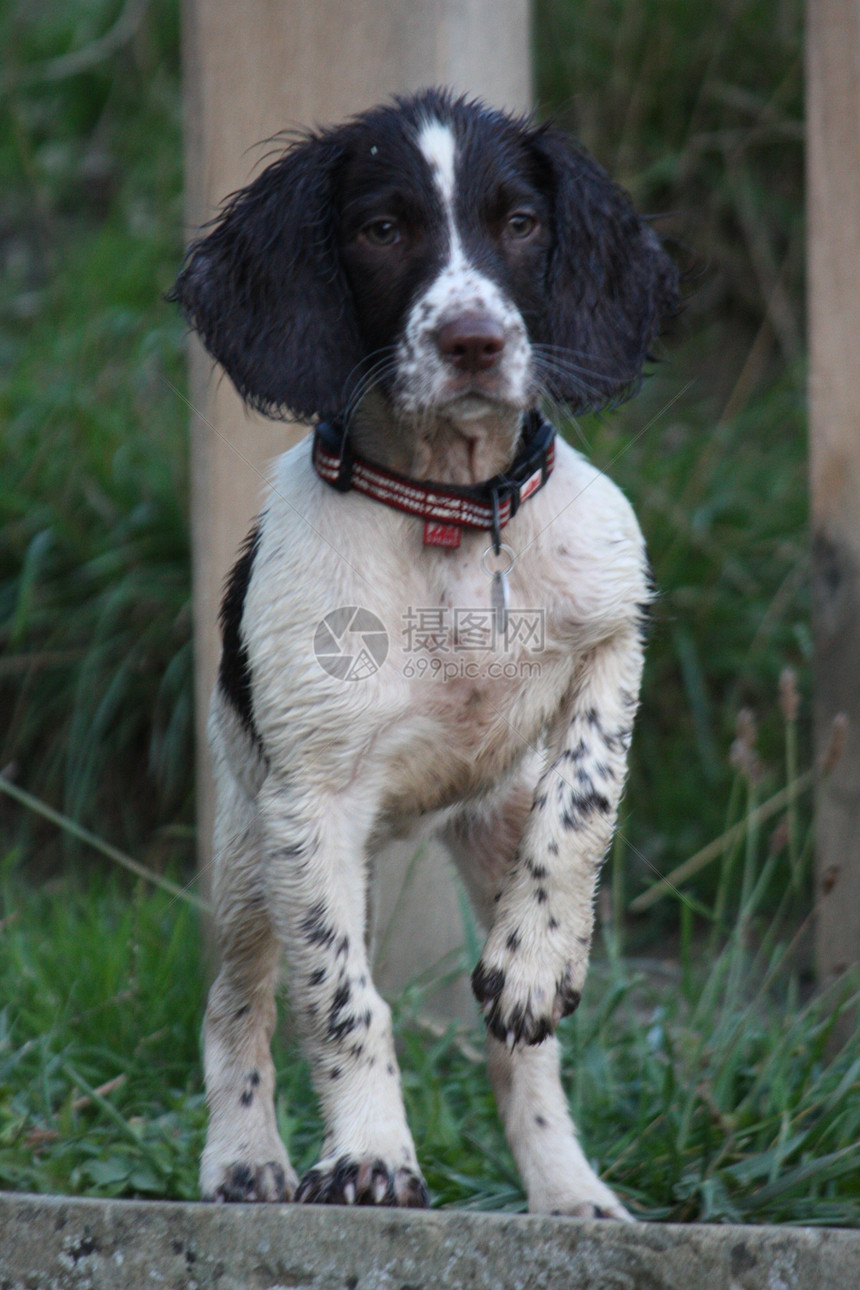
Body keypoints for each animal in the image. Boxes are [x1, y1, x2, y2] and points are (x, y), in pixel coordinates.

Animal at [170, 85, 680, 1212]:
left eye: (521, 223)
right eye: (380, 230)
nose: (474, 341)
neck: (449, 510)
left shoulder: (612, 623)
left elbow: (584, 799)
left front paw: (537, 959)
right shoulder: (309, 800)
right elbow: (343, 1001)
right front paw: (367, 1157)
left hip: (483, 826)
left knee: (520, 1055)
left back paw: (567, 1187)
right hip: (250, 851)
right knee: (237, 1000)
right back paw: (247, 1158)